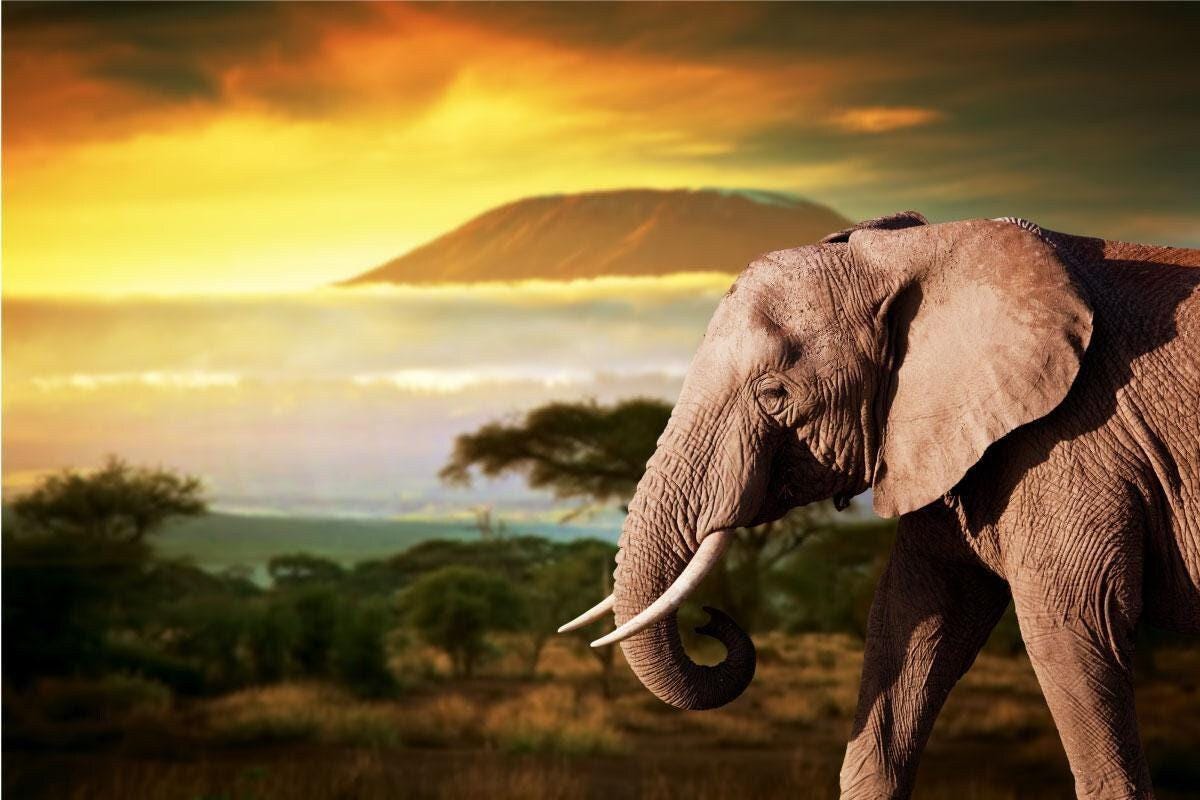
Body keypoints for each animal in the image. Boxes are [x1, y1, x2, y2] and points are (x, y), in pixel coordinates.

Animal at [558, 213, 1199, 799]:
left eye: (774, 395)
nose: (709, 621)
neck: (914, 252)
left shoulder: (1077, 438)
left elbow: (1071, 623)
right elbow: (913, 618)